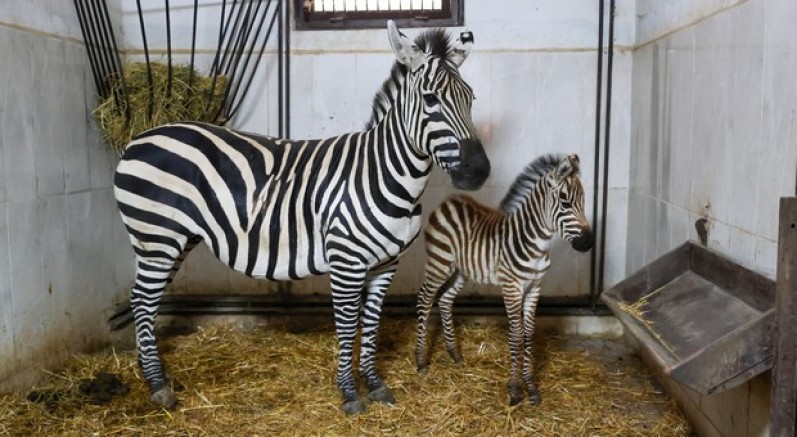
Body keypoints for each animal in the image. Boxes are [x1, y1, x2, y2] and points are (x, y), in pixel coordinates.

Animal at [113, 21, 490, 415]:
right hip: (157, 236)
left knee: (143, 300)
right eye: (431, 99)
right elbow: (348, 324)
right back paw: (158, 386)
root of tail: (139, 137)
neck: (384, 173)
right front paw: (350, 393)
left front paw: (375, 384)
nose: (478, 171)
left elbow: (371, 322)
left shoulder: (387, 263)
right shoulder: (346, 262)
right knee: (143, 301)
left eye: (471, 99)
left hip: (174, 239)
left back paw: (148, 371)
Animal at [414, 153, 592, 406]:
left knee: (445, 300)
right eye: (566, 202)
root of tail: (449, 201)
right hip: (439, 263)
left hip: (461, 271)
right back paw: (421, 361)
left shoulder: (534, 287)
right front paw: (515, 390)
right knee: (425, 299)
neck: (536, 243)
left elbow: (529, 333)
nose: (588, 243)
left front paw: (531, 387)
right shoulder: (512, 287)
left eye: (583, 202)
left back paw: (455, 354)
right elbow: (516, 335)